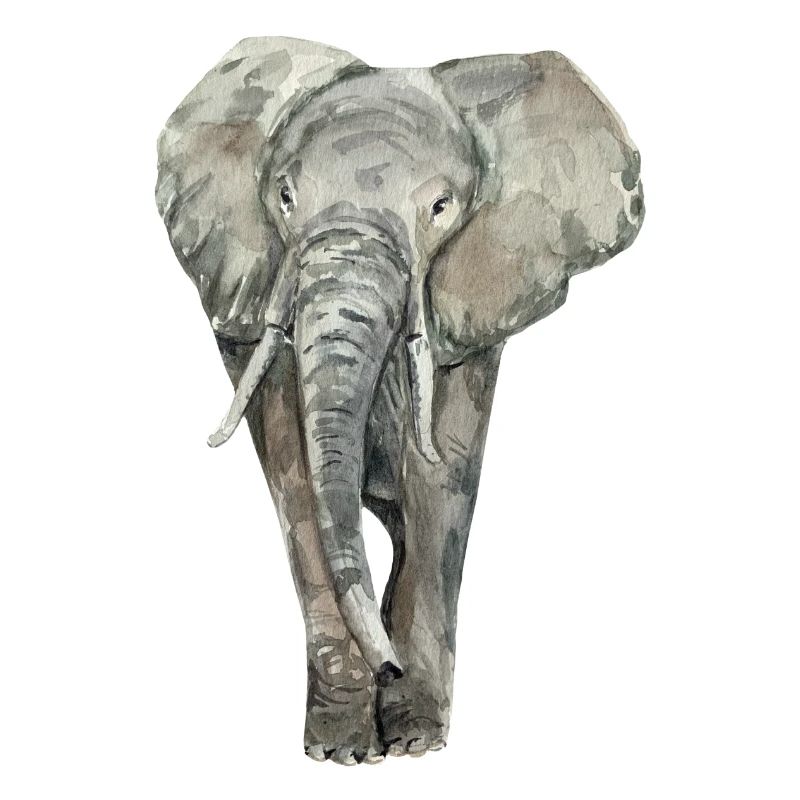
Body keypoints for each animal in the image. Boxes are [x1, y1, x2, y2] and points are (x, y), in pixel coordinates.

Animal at [155, 36, 644, 765]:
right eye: (285, 196)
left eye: (441, 207)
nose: (387, 665)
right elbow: (294, 471)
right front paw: (343, 749)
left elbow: (440, 476)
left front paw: (414, 742)